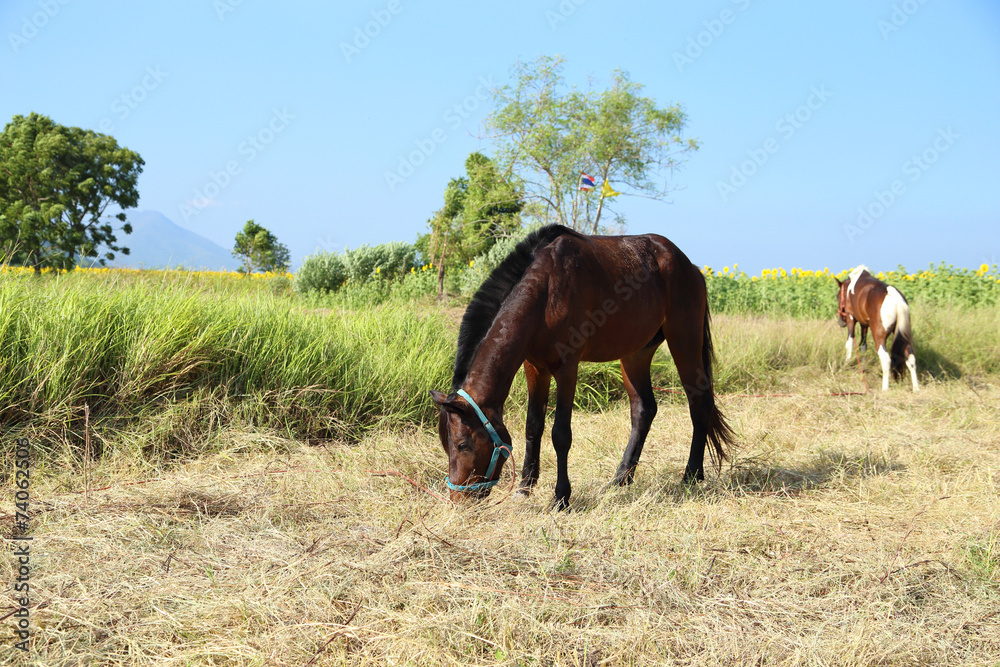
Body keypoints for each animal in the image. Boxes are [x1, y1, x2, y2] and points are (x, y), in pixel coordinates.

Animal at [430, 224, 736, 506]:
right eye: (446, 445)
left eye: (462, 444)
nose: (458, 500)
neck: (545, 291)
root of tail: (690, 266)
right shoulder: (535, 368)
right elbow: (533, 427)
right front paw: (525, 487)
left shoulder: (567, 368)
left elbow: (560, 434)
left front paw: (561, 497)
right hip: (636, 353)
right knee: (644, 410)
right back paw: (621, 478)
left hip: (684, 340)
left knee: (699, 403)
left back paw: (691, 475)